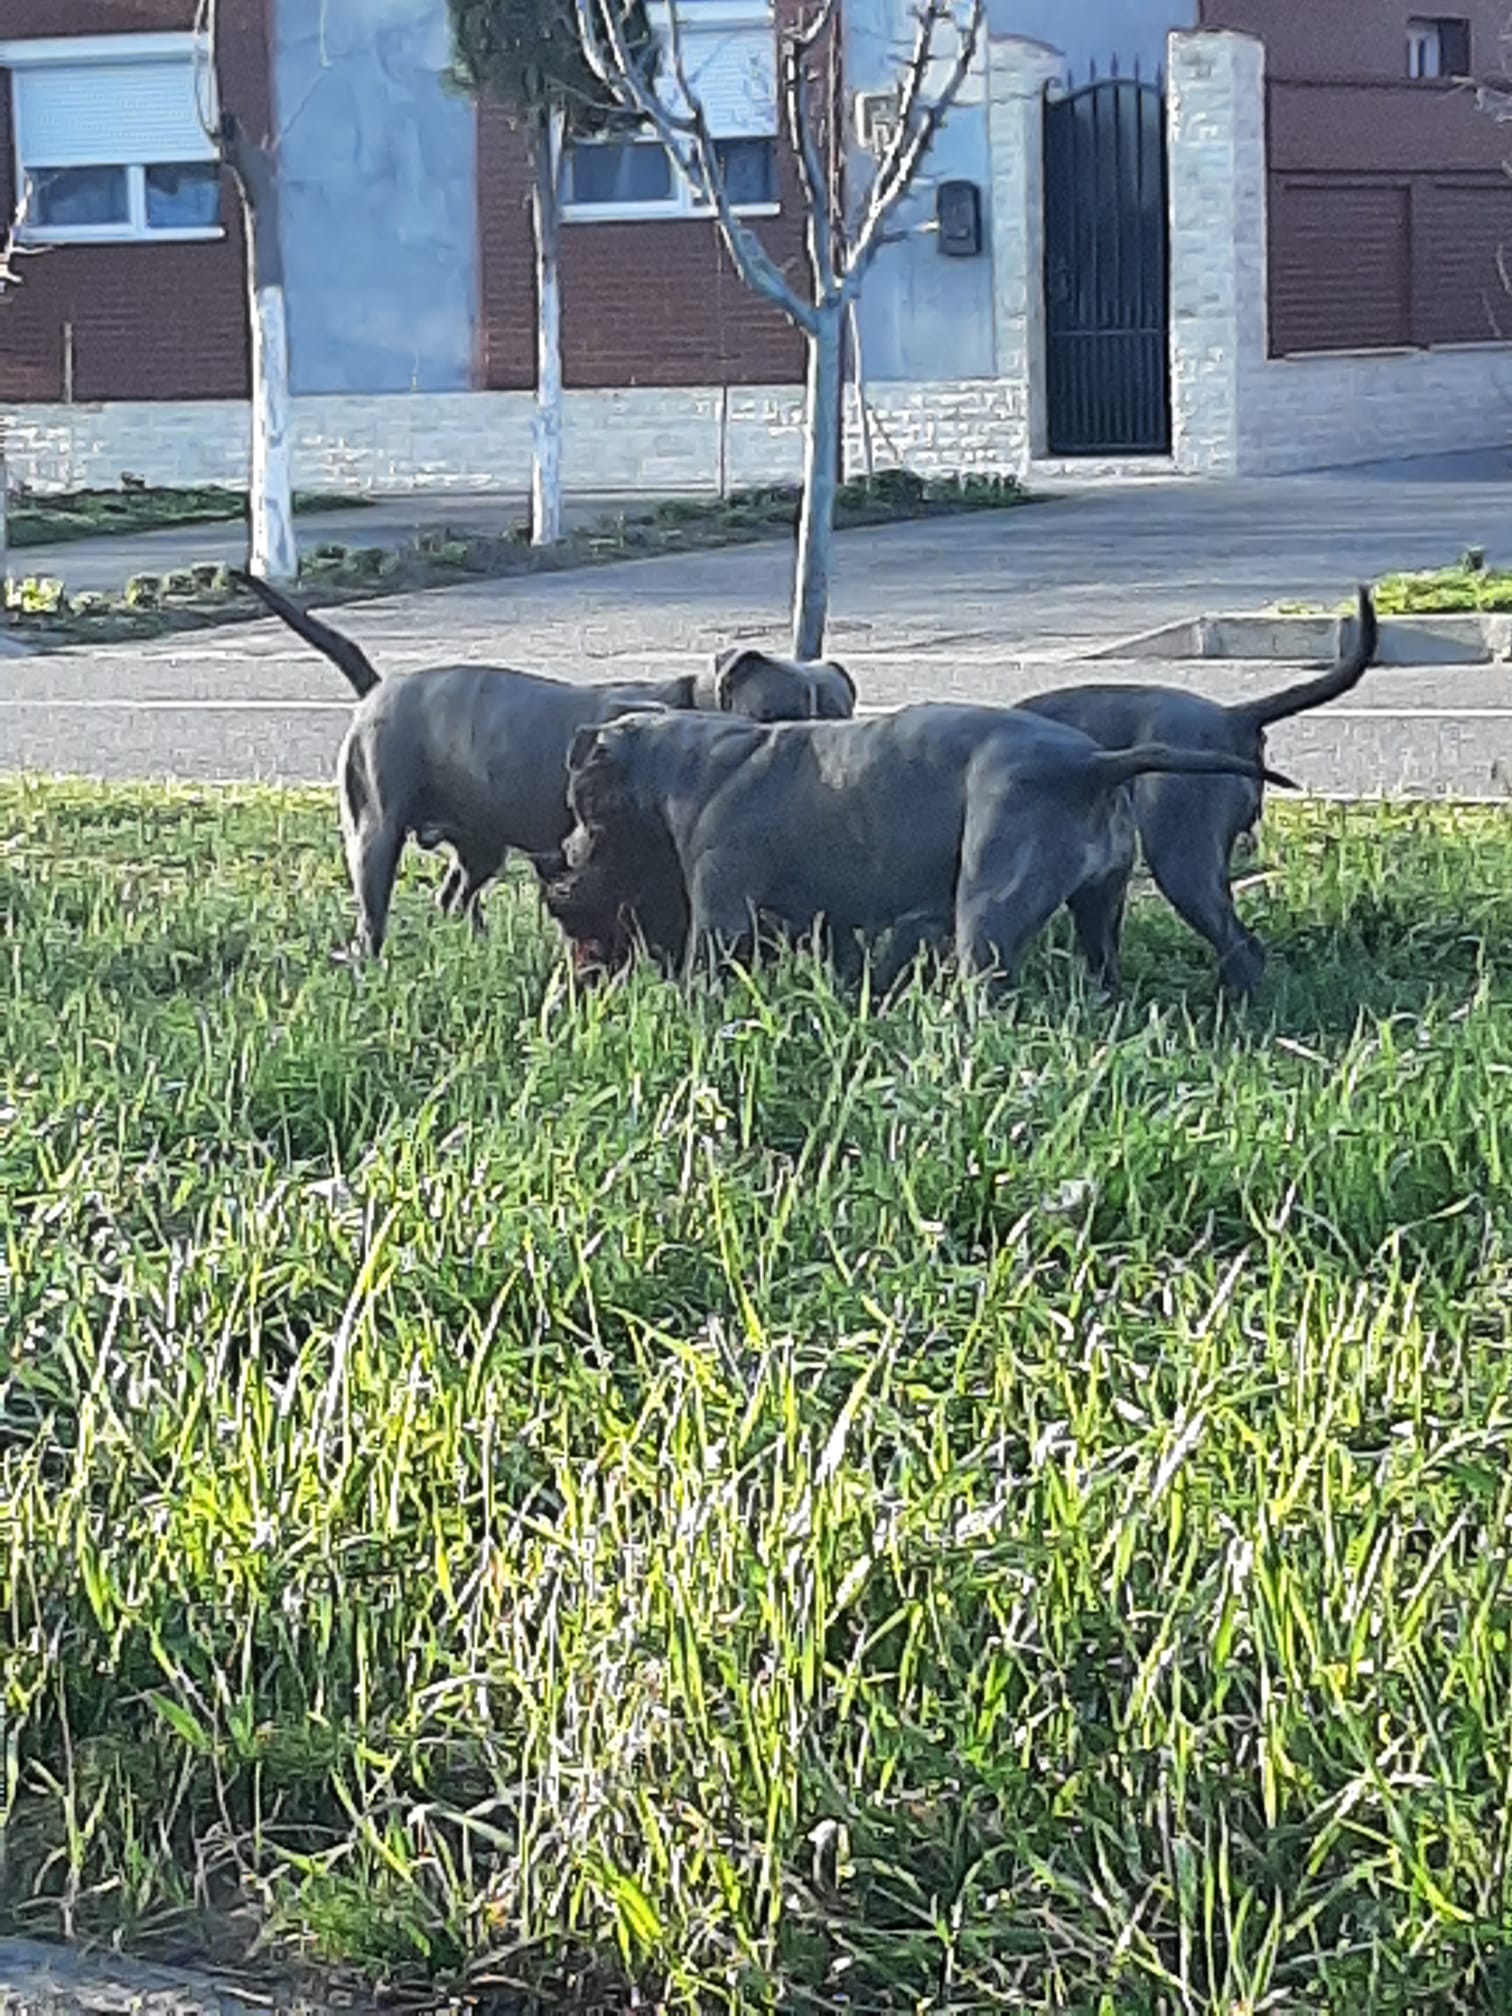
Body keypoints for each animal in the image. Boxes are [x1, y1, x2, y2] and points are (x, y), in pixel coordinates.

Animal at [233, 580, 854, 955]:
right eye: (776, 714)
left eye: (844, 711)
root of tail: (377, 688)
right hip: (374, 833)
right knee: (374, 917)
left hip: (481, 845)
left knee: (455, 896)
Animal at [552, 705, 1298, 995]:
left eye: (578, 797)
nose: (562, 851)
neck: (687, 759)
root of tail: (1090, 763)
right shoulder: (837, 923)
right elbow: (856, 964)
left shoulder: (720, 914)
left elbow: (700, 973)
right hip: (1099, 907)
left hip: (988, 911)